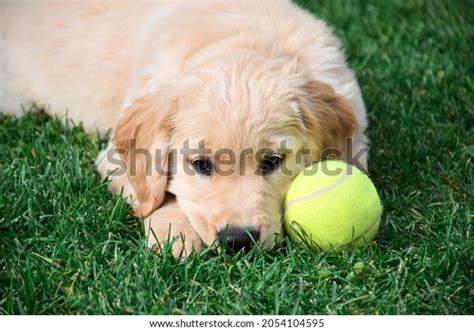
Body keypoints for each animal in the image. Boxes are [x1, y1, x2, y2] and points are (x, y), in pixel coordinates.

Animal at [0, 0, 370, 258]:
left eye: (272, 162)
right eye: (200, 164)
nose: (238, 240)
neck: (247, 41)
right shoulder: (113, 157)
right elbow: (157, 192)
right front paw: (175, 232)